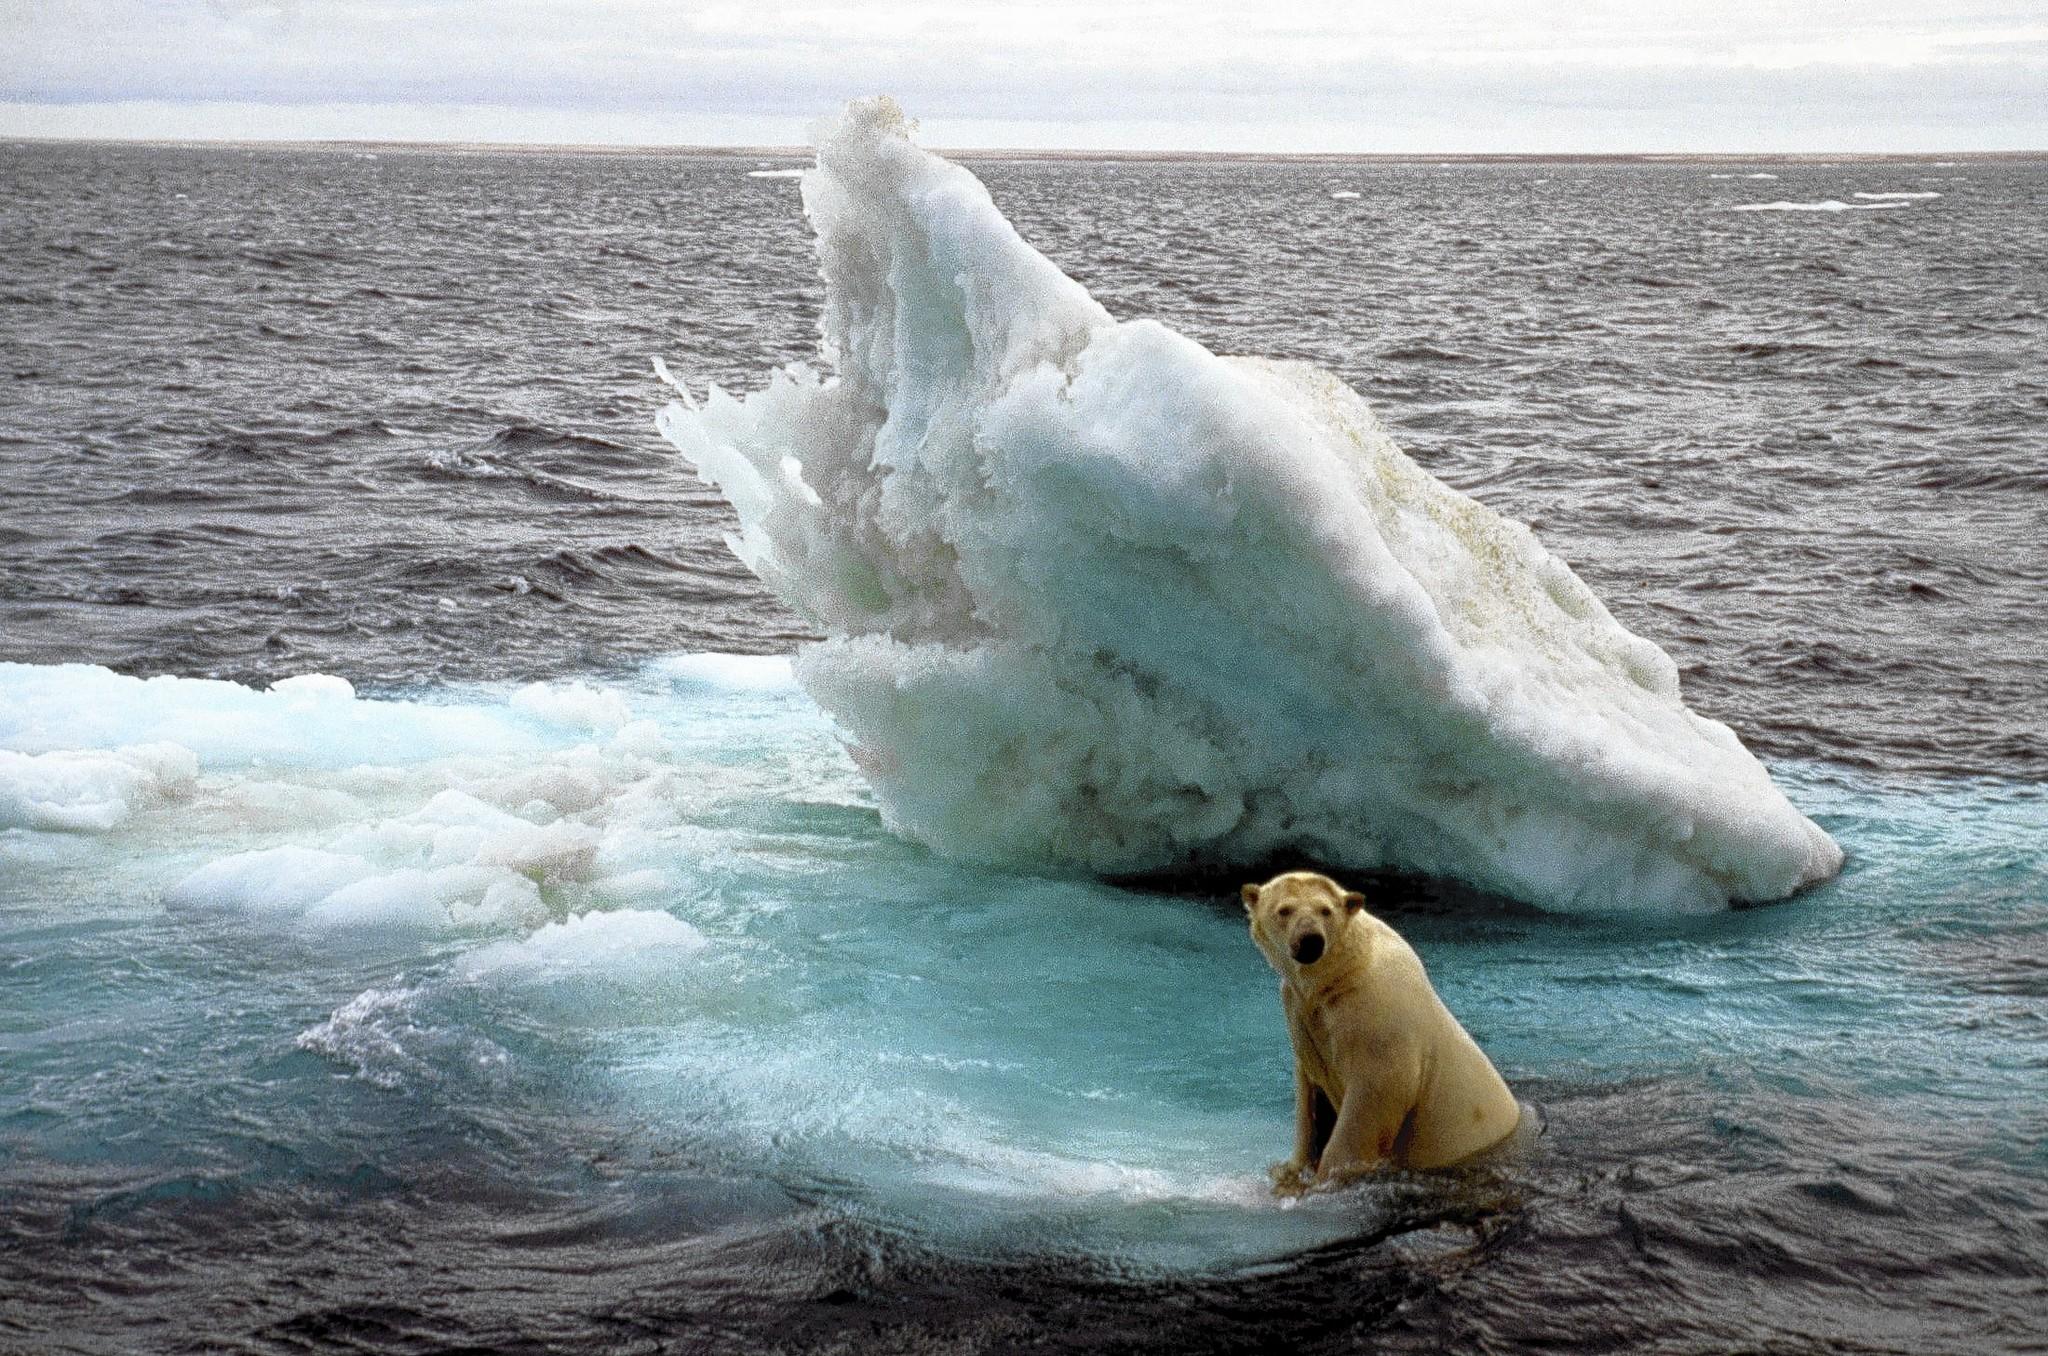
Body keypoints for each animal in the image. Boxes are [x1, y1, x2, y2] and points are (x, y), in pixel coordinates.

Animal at [1228, 876, 1523, 1188]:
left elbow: (1371, 1102)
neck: (1343, 975)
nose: (1310, 941)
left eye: (1325, 910)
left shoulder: (1378, 1019)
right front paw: (1290, 1170)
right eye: (1284, 910)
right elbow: (1311, 1103)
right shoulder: (1302, 1015)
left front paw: (1325, 1178)